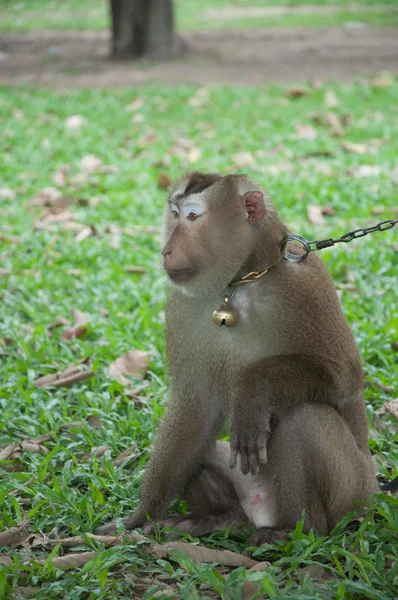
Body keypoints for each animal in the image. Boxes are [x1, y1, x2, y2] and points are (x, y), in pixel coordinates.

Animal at [98, 171, 380, 548]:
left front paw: (252, 392)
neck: (240, 282)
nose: (166, 250)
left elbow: (345, 376)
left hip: (352, 493)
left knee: (304, 416)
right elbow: (195, 407)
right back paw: (220, 520)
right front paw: (139, 517)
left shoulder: (304, 286)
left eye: (193, 217)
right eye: (174, 213)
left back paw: (296, 530)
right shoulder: (181, 302)